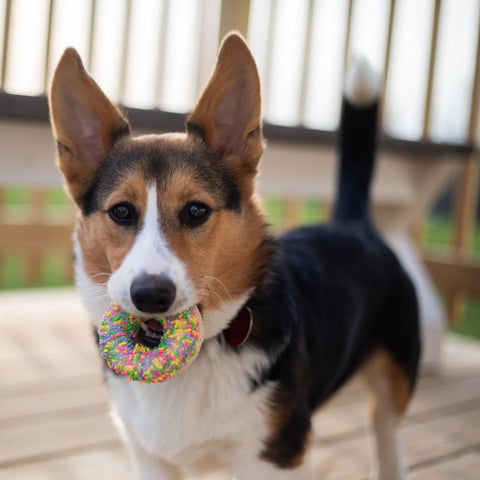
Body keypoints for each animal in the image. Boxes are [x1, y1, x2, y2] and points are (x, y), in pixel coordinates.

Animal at [49, 32, 420, 480]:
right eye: (121, 211)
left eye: (196, 210)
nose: (151, 295)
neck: (200, 355)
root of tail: (352, 223)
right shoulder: (151, 459)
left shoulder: (273, 458)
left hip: (394, 381)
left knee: (387, 434)